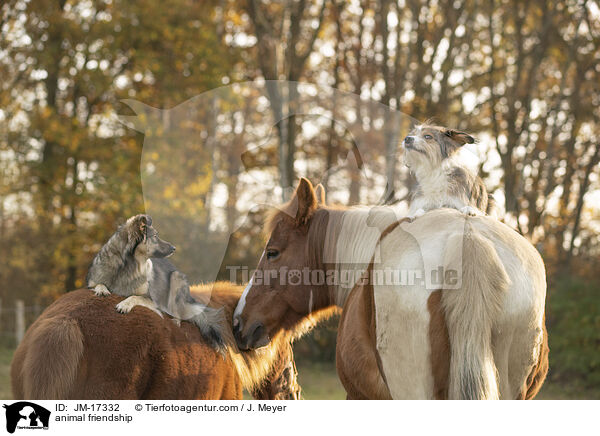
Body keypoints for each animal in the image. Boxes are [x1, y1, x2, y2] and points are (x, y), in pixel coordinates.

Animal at [85, 215, 225, 350]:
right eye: (155, 236)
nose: (174, 248)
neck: (127, 266)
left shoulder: (153, 300)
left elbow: (135, 296)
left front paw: (124, 304)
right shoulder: (92, 282)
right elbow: (99, 283)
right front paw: (102, 290)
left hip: (176, 278)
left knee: (178, 311)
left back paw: (176, 320)